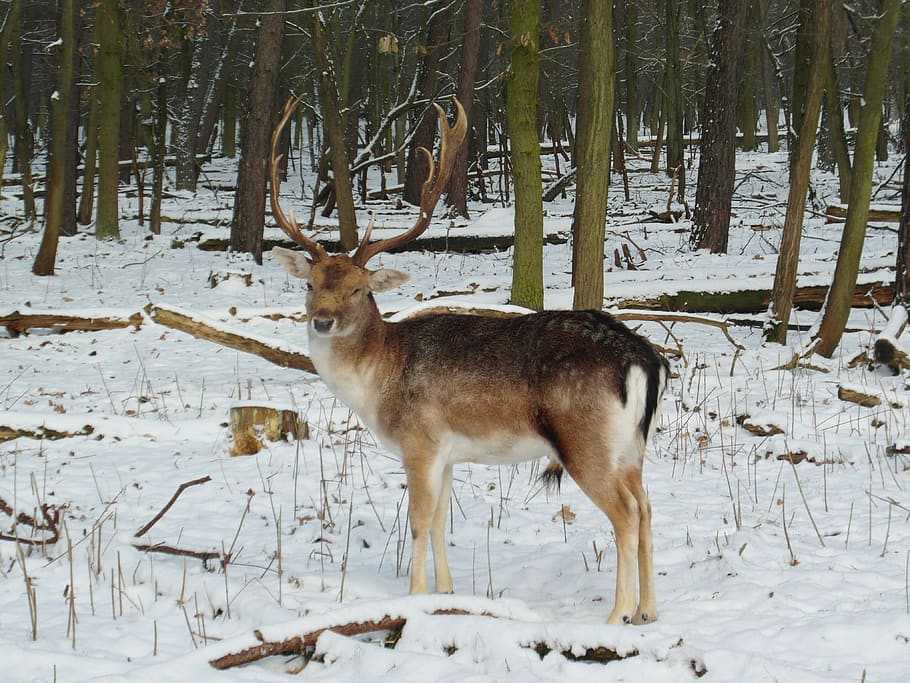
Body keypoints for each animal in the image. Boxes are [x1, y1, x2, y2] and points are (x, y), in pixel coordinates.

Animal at [269, 96, 670, 625]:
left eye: (358, 289)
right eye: (310, 284)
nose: (322, 321)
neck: (378, 380)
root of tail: (645, 358)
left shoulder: (419, 440)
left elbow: (419, 519)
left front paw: (415, 596)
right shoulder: (448, 453)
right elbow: (442, 519)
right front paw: (446, 590)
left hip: (585, 441)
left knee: (626, 514)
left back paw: (618, 614)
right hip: (631, 447)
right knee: (647, 507)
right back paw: (648, 610)